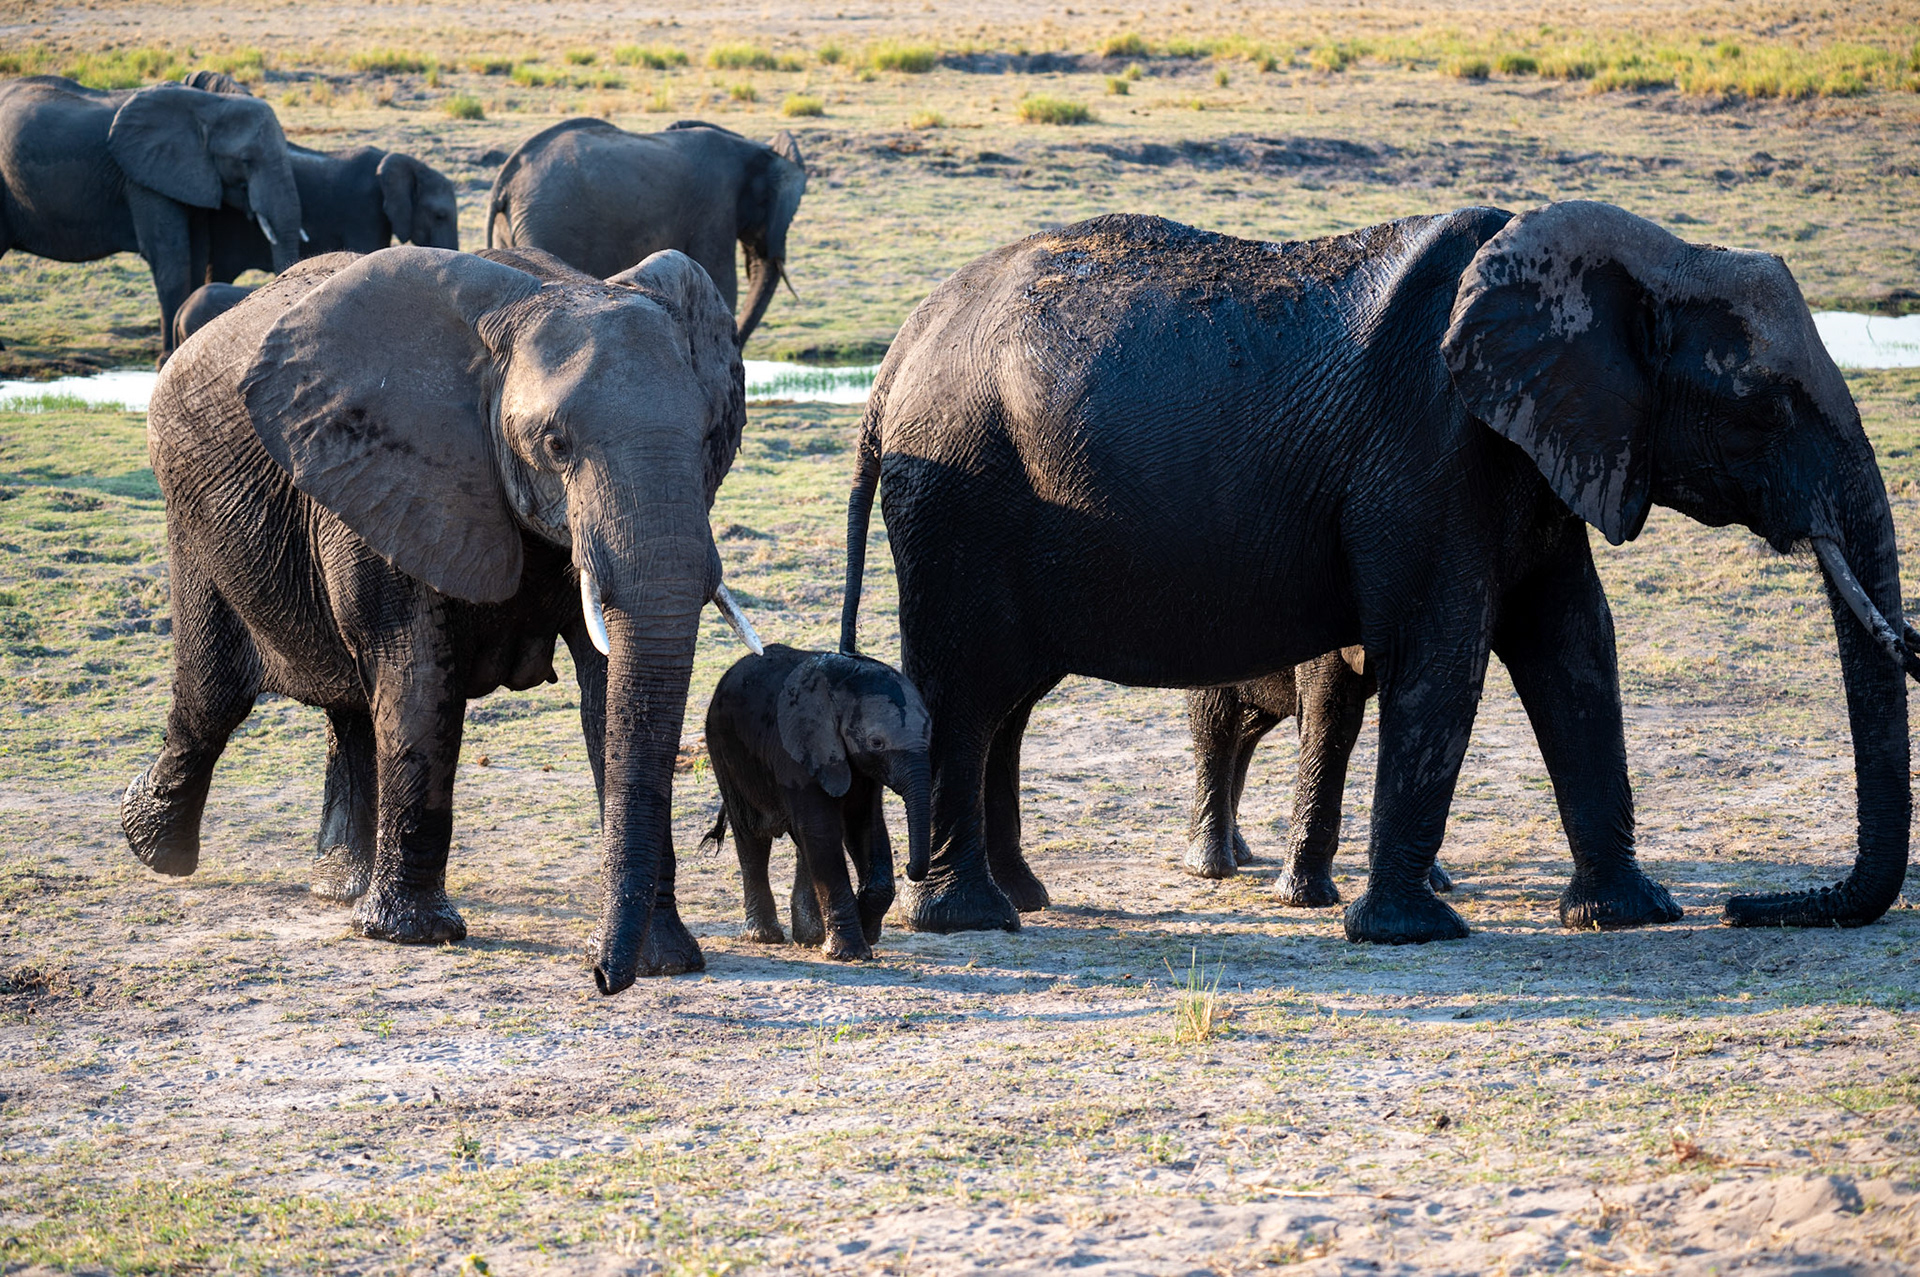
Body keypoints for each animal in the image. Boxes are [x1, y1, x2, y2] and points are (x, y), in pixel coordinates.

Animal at [0, 76, 301, 359]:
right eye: (245, 160)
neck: (208, 103)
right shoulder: (144, 176)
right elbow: (171, 256)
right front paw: (167, 355)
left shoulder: (191, 176)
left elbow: (197, 253)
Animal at [120, 242, 762, 994]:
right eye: (555, 445)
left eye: (707, 436)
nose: (603, 976)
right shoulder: (389, 471)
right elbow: (420, 675)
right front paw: (416, 936)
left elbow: (610, 693)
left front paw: (667, 962)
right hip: (193, 512)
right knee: (214, 696)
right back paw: (152, 847)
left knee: (348, 706)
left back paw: (340, 887)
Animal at [700, 644, 933, 960]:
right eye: (876, 743)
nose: (909, 868)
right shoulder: (801, 753)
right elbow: (822, 831)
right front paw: (849, 953)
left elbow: (864, 826)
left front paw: (865, 929)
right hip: (725, 754)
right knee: (752, 834)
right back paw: (764, 936)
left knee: (799, 841)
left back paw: (810, 937)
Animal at [840, 203, 1915, 944]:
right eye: (1765, 409)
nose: (1741, 904)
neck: (1634, 261)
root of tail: (894, 359)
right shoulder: (1428, 454)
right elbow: (1444, 655)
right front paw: (1411, 932)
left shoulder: (1538, 449)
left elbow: (1576, 648)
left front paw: (1630, 914)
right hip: (958, 497)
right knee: (969, 688)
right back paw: (973, 919)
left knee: (1005, 701)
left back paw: (1020, 897)